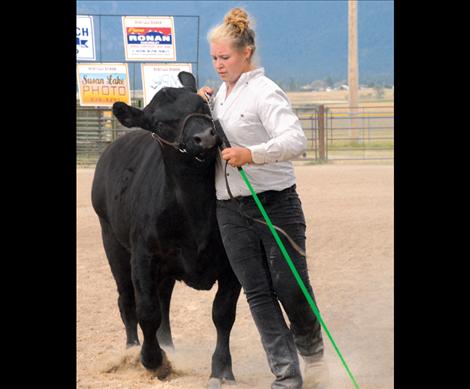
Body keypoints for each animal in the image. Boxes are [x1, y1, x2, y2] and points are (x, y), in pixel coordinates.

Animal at [91, 71, 242, 386]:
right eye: (160, 123)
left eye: (202, 104)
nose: (205, 137)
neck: (194, 206)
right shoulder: (143, 256)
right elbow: (147, 311)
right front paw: (153, 360)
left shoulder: (231, 262)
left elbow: (223, 313)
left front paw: (222, 369)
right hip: (113, 243)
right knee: (127, 300)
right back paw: (132, 350)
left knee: (164, 299)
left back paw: (168, 345)